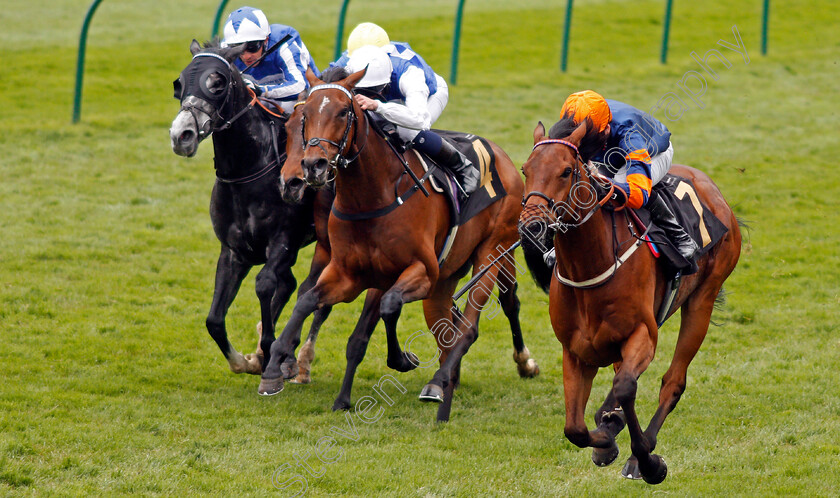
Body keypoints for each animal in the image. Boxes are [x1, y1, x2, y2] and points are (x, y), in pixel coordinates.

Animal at [170, 40, 334, 380]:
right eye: (178, 84)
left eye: (217, 82)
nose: (181, 136)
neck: (248, 171)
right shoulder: (234, 251)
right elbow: (214, 320)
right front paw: (246, 360)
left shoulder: (283, 242)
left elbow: (265, 284)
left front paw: (268, 351)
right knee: (293, 285)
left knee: (317, 297)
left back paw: (301, 360)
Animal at [260, 69, 540, 420]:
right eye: (304, 116)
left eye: (343, 112)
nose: (313, 166)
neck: (372, 196)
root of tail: (505, 158)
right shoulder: (348, 273)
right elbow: (308, 301)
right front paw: (275, 368)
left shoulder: (421, 271)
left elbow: (389, 306)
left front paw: (402, 360)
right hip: (445, 280)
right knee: (446, 327)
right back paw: (446, 385)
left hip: (491, 252)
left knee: (475, 323)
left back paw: (452, 380)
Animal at [520, 116, 740, 482]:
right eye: (525, 169)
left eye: (566, 171)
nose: (532, 226)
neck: (590, 268)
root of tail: (710, 186)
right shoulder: (576, 351)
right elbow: (575, 428)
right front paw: (605, 439)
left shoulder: (643, 334)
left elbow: (626, 387)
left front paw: (648, 460)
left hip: (702, 299)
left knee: (673, 381)